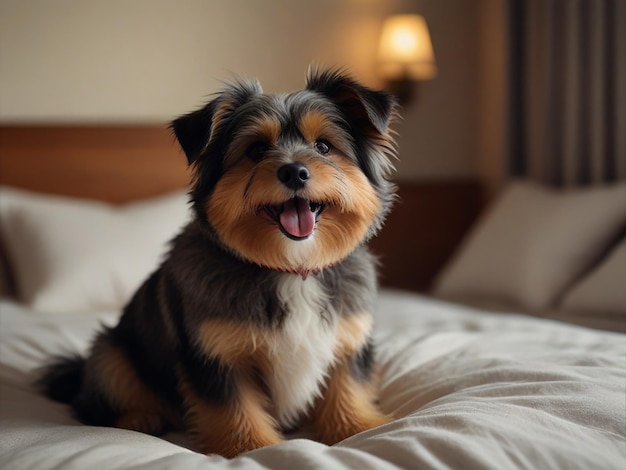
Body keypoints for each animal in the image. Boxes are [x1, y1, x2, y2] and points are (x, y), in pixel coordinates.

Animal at [39, 68, 398, 458]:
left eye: (324, 147)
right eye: (256, 150)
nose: (295, 173)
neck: (291, 269)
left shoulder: (349, 341)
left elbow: (348, 388)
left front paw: (358, 427)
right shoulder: (215, 355)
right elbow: (234, 410)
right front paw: (255, 447)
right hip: (111, 352)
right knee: (91, 404)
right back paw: (139, 417)